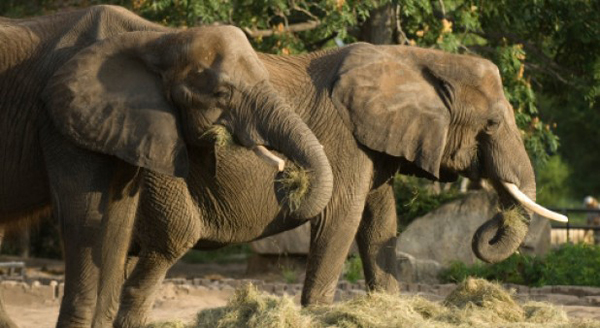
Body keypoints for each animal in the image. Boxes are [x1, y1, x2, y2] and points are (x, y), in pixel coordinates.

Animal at [0, 5, 332, 328]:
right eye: (221, 94)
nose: (288, 176)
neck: (158, 39)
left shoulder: (121, 125)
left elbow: (118, 220)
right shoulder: (62, 122)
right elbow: (83, 218)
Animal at [102, 19, 568, 328]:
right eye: (492, 124)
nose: (485, 231)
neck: (416, 59)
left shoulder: (374, 144)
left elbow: (380, 221)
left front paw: (388, 310)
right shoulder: (344, 138)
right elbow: (342, 217)